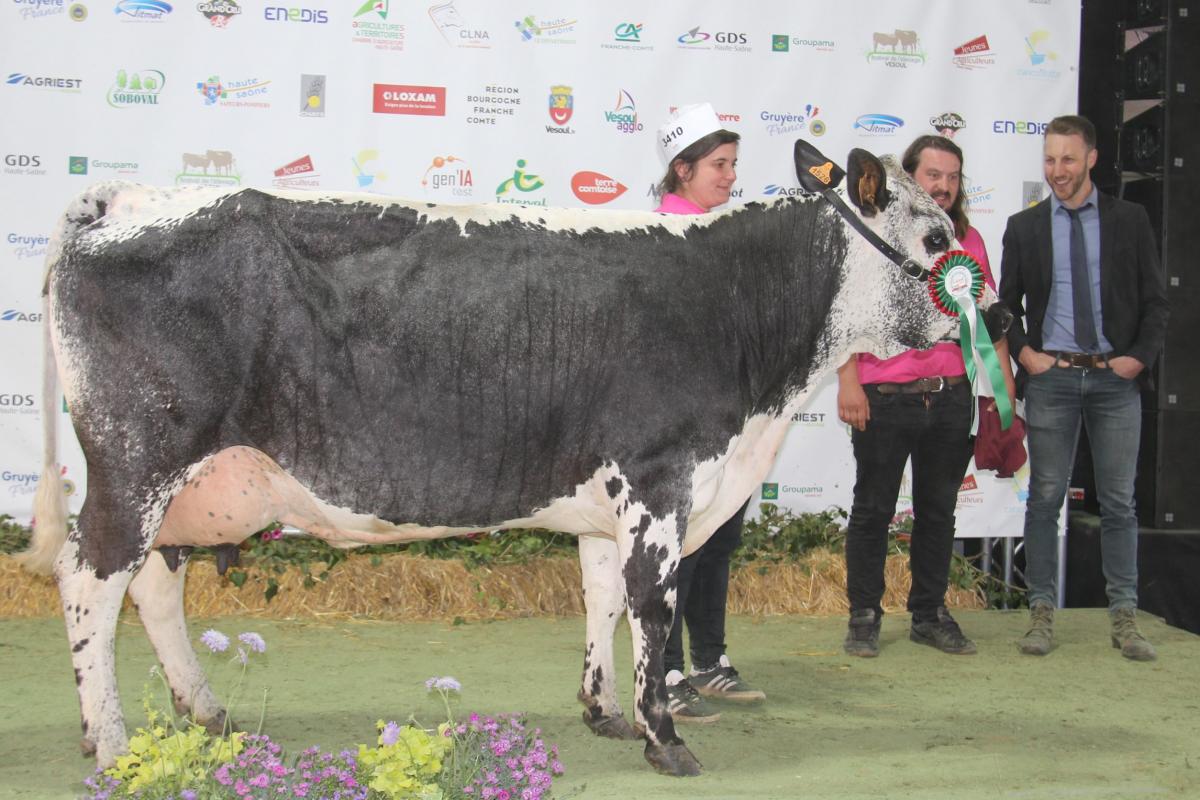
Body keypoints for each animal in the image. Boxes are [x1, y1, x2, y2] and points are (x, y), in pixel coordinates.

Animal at [23, 143, 984, 777]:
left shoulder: (606, 498)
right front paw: (666, 738)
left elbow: (601, 598)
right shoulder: (661, 477)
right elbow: (653, 607)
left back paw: (203, 711)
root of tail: (122, 197)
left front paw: (604, 713)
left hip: (191, 486)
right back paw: (112, 742)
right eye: (938, 238)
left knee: (154, 586)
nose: (997, 311)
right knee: (90, 580)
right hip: (137, 464)